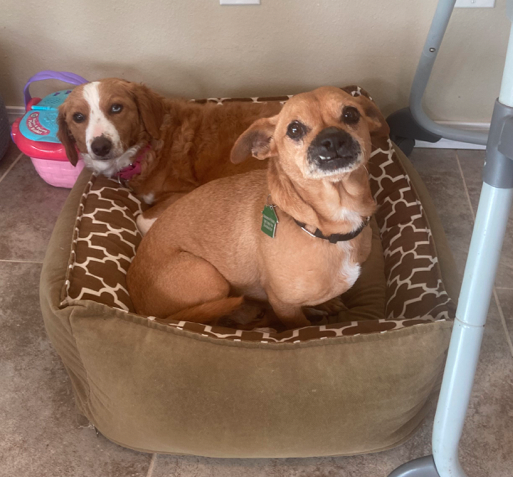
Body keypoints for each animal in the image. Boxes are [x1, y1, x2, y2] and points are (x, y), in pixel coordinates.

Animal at [58, 78, 282, 231]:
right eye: (78, 117)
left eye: (116, 107)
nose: (100, 146)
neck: (148, 150)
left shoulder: (187, 192)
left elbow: (143, 220)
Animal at [126, 87, 386, 330]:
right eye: (294, 129)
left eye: (351, 114)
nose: (332, 139)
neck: (326, 228)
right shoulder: (285, 306)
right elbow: (299, 324)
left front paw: (326, 303)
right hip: (209, 277)